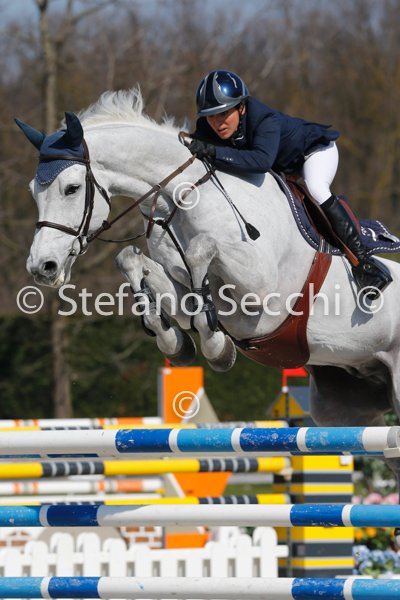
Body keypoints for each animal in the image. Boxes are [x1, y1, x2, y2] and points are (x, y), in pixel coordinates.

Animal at [15, 88, 400, 499]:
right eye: (33, 192)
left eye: (71, 188)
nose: (42, 267)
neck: (183, 197)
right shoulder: (180, 281)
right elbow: (137, 265)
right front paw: (174, 340)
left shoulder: (260, 290)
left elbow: (203, 252)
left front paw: (216, 347)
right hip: (344, 404)